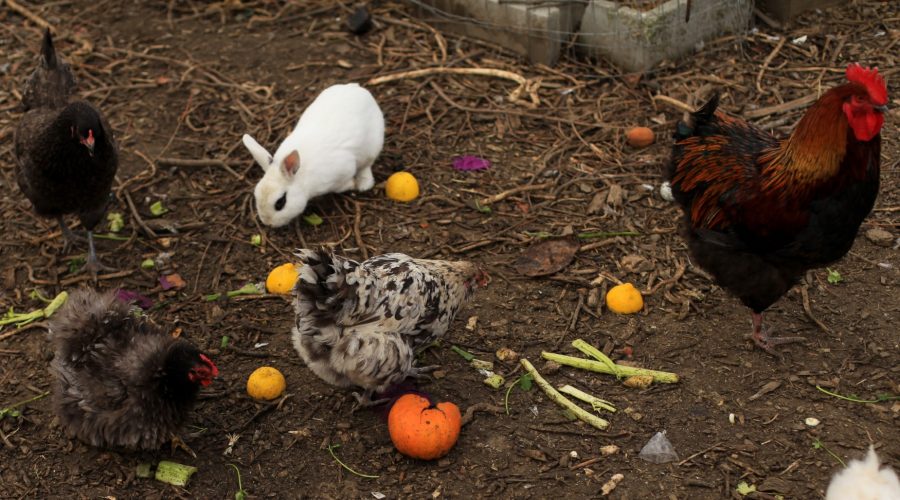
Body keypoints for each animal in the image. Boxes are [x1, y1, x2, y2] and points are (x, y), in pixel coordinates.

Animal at [244, 84, 384, 229]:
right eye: (256, 195)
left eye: (280, 203)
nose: (267, 222)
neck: (302, 179)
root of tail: (358, 88)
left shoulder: (343, 171)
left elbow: (343, 185)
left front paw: (353, 184)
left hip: (371, 147)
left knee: (366, 165)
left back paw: (363, 184)